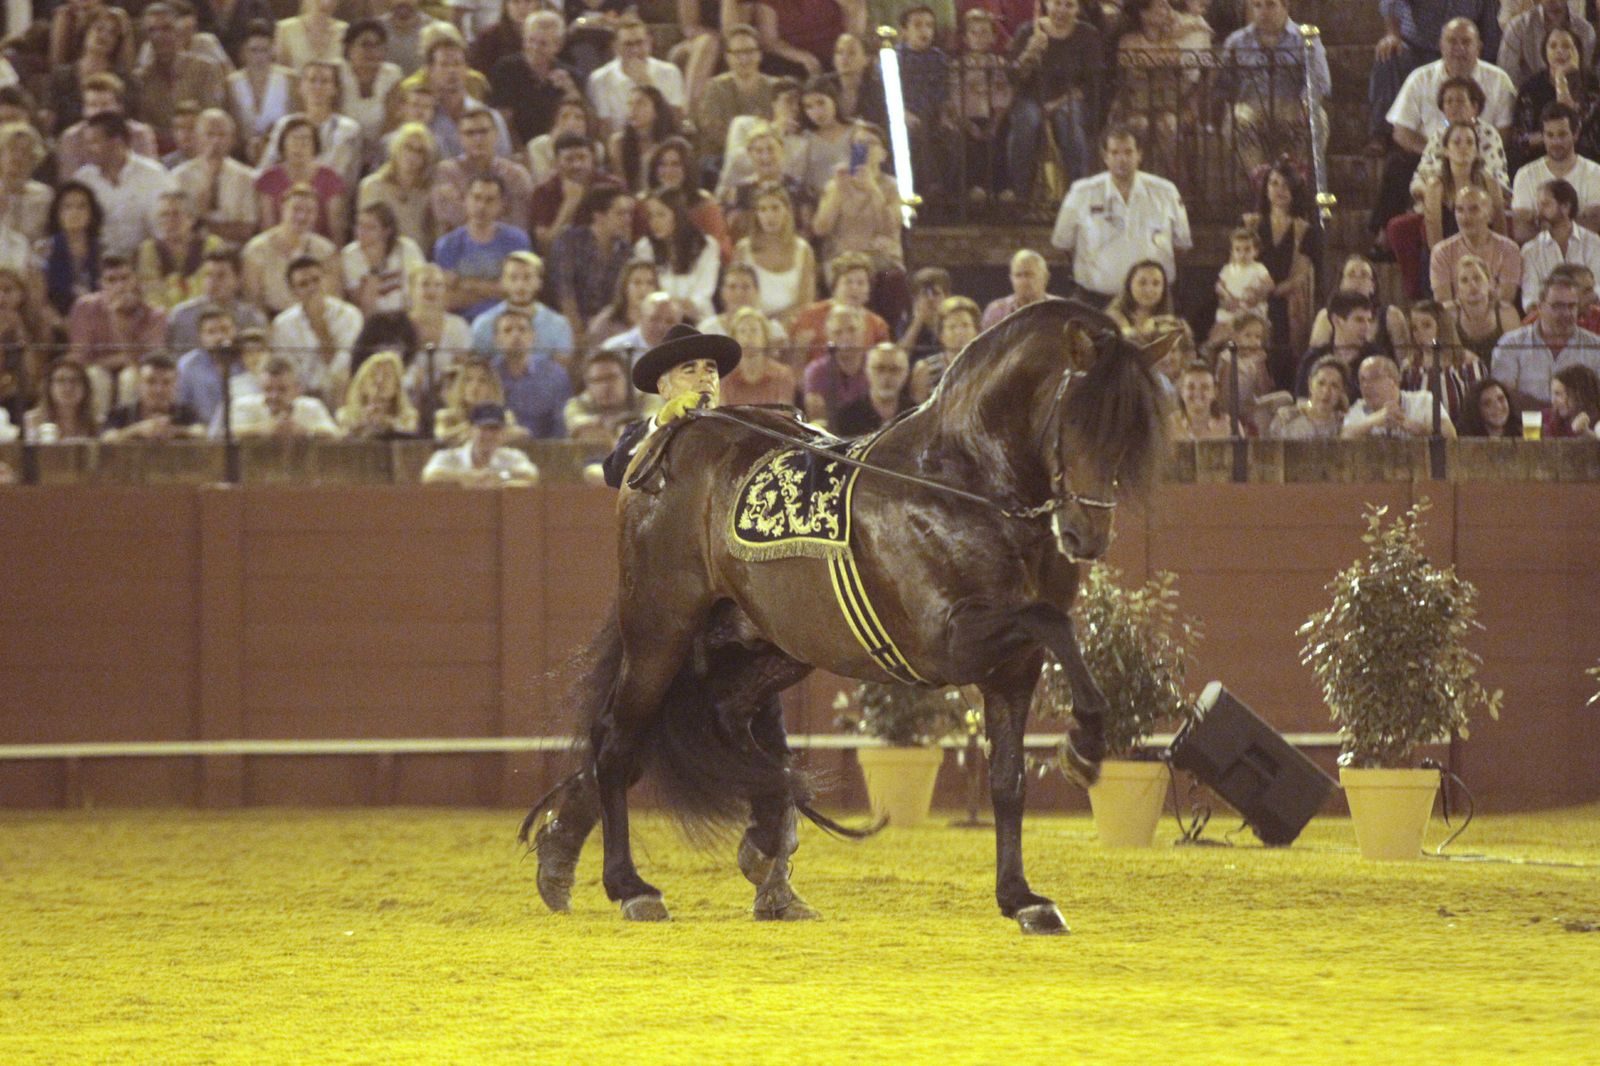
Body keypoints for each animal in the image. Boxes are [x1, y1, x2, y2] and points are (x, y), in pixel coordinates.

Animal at [520, 298, 1171, 934]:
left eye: (1131, 430)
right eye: (1077, 419)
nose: (1087, 536)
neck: (958, 483)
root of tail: (669, 441)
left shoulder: (1014, 668)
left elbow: (1007, 779)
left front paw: (1022, 898)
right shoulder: (946, 642)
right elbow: (1054, 624)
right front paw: (1084, 749)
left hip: (774, 645)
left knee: (723, 722)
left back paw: (754, 848)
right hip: (661, 631)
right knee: (618, 739)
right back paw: (631, 886)